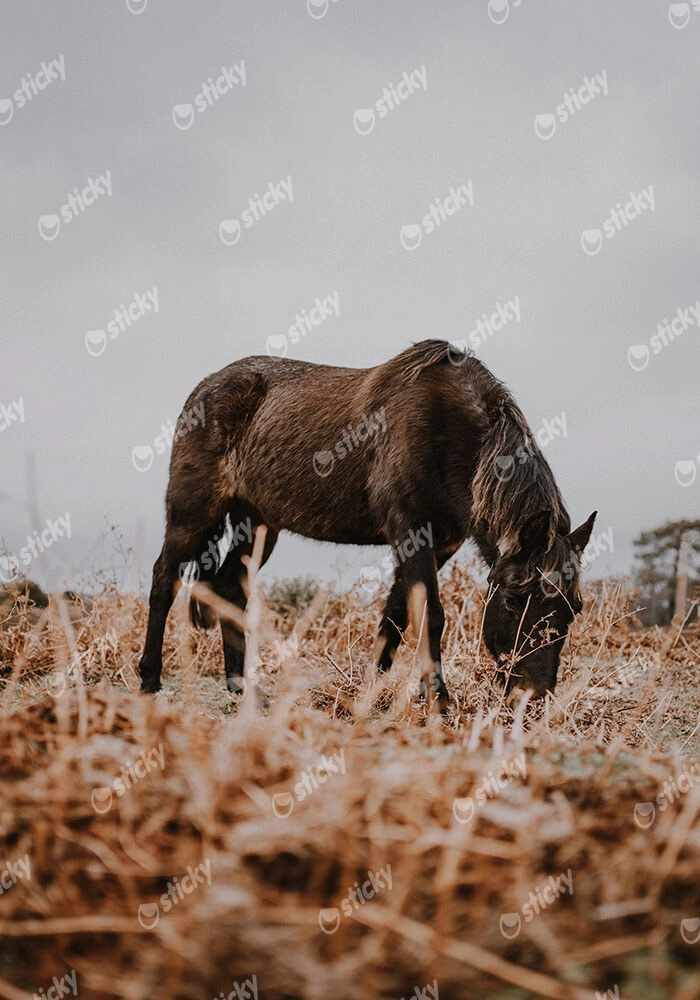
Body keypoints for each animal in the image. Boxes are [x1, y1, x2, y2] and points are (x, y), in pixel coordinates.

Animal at [138, 339, 596, 710]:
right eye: (513, 601)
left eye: (574, 609)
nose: (533, 699)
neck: (448, 427)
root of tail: (205, 388)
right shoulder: (411, 530)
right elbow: (429, 613)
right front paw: (439, 700)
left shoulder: (440, 542)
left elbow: (395, 616)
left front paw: (371, 693)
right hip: (192, 513)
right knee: (164, 580)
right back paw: (149, 680)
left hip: (258, 524)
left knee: (230, 586)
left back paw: (242, 687)